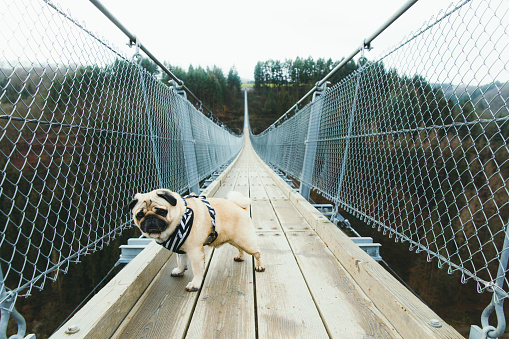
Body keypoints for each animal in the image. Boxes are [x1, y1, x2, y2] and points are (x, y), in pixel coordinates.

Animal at [127, 189, 264, 292]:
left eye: (162, 211)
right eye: (139, 215)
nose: (150, 218)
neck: (180, 217)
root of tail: (240, 207)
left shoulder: (195, 252)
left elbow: (197, 269)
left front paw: (195, 284)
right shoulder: (180, 250)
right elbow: (181, 262)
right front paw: (180, 271)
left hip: (245, 240)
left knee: (257, 252)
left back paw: (259, 266)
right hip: (235, 239)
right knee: (240, 249)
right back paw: (240, 256)